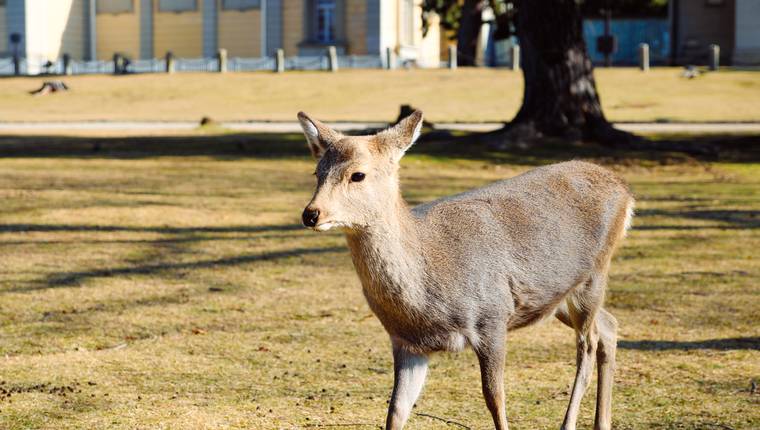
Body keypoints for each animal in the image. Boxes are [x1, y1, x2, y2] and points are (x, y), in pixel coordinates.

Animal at [298, 111, 636, 430]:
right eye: (317, 172)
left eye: (358, 174)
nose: (311, 214)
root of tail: (625, 191)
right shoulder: (406, 342)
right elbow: (395, 411)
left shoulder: (493, 315)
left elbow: (494, 397)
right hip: (557, 298)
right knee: (609, 325)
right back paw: (602, 421)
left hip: (594, 274)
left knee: (588, 344)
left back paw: (569, 422)